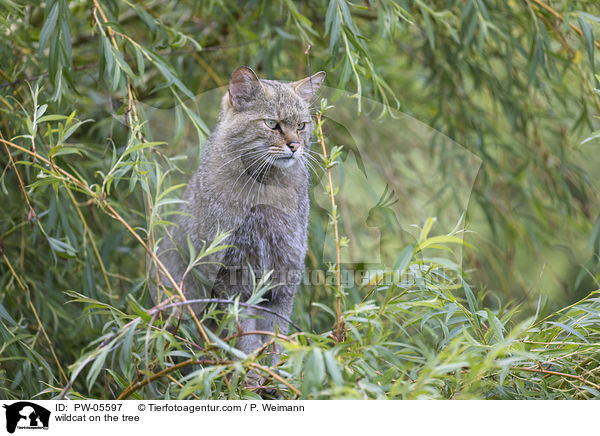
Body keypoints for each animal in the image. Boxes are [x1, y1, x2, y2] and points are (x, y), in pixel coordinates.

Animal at [152, 65, 326, 358]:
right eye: (272, 124)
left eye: (301, 126)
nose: (294, 146)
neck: (265, 191)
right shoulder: (232, 278)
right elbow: (244, 336)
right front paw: (246, 365)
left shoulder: (283, 278)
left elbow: (274, 336)